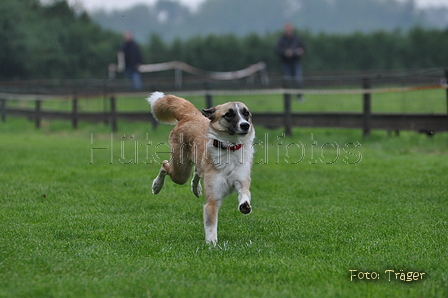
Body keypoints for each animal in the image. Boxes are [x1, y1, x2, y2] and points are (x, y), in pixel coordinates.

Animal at [145, 92, 254, 244]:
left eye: (246, 113)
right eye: (228, 114)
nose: (245, 125)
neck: (229, 148)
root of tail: (190, 115)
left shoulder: (241, 179)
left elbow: (244, 193)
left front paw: (244, 205)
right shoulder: (213, 199)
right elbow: (211, 224)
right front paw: (212, 244)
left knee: (197, 171)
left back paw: (195, 188)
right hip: (180, 172)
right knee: (165, 165)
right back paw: (156, 186)